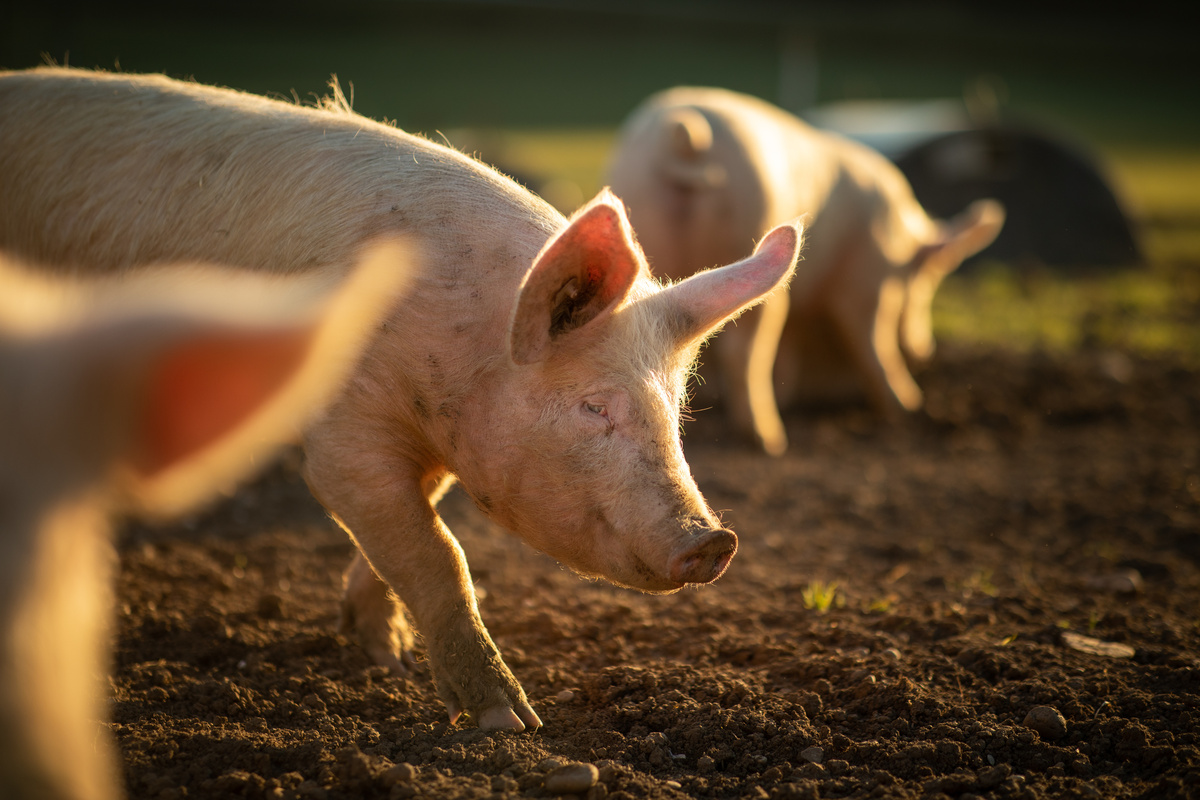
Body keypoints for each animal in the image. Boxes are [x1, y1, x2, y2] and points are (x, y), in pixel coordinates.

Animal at [2, 70, 806, 734]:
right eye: (593, 407)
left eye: (675, 412)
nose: (714, 540)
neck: (459, 360)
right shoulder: (341, 437)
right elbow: (438, 553)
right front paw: (509, 723)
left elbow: (409, 535)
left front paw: (380, 653)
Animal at [609, 87, 1003, 455]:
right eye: (928, 279)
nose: (925, 351)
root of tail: (681, 139)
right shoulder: (868, 276)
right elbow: (872, 338)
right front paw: (908, 408)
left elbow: (792, 347)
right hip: (755, 234)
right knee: (745, 351)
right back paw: (769, 441)